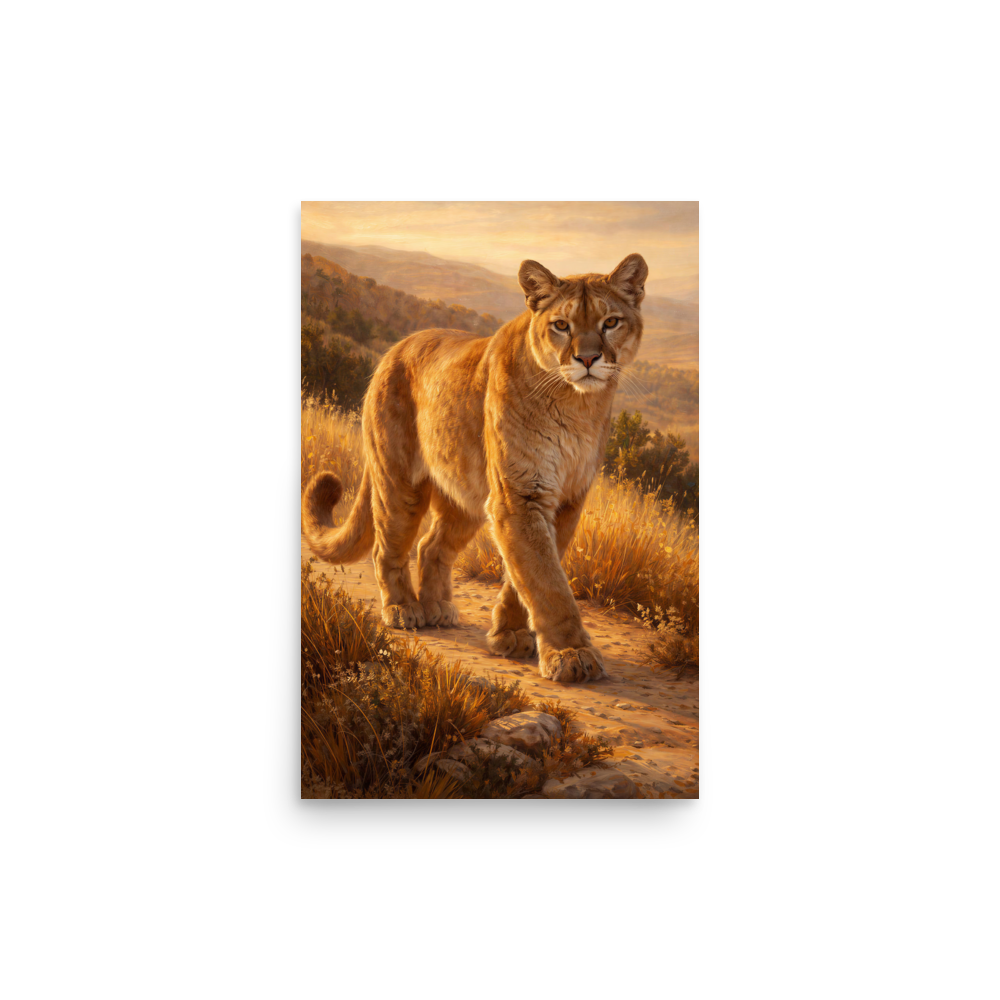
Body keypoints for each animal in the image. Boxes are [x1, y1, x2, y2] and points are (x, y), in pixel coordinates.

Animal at [301, 253, 648, 682]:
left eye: (610, 322)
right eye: (561, 325)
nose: (587, 359)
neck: (577, 404)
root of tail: (394, 349)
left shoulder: (565, 499)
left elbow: (528, 574)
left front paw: (511, 635)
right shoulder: (520, 495)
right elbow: (547, 581)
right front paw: (572, 654)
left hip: (464, 496)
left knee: (432, 547)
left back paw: (438, 609)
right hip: (400, 484)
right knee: (389, 547)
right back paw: (403, 609)